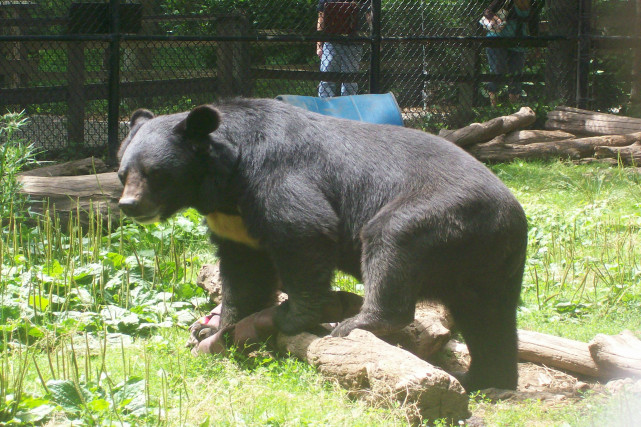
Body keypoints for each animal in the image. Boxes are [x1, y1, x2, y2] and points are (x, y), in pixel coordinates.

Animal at [117, 98, 528, 392]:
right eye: (123, 173)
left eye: (155, 173)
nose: (129, 205)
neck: (225, 183)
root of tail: (510, 216)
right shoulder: (234, 224)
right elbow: (244, 273)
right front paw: (216, 330)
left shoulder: (275, 176)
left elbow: (303, 229)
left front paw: (291, 316)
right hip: (488, 262)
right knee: (488, 317)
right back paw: (488, 381)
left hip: (440, 214)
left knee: (392, 242)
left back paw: (353, 323)